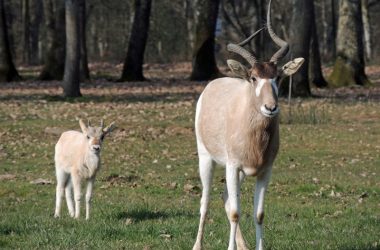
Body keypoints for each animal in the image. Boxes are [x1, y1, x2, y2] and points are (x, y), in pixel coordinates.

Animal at [191, 0, 304, 249]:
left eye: (278, 76)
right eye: (253, 78)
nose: (270, 107)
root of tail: (212, 85)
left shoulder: (265, 170)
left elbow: (259, 214)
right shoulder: (233, 167)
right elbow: (235, 212)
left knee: (225, 196)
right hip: (207, 159)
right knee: (205, 201)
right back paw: (197, 245)